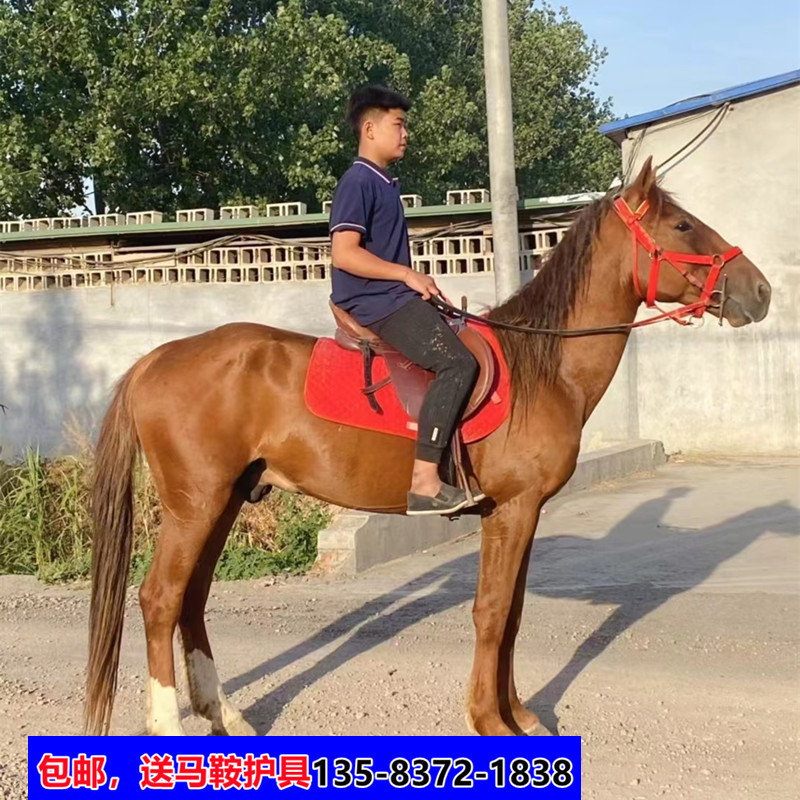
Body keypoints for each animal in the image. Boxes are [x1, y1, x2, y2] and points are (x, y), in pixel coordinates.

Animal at [83, 158, 771, 736]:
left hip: (223, 501)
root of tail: (155, 359)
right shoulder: (514, 509)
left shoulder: (516, 513)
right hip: (195, 504)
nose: (760, 290)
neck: (542, 366)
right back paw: (168, 730)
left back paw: (224, 714)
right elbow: (491, 612)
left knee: (192, 601)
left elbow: (512, 614)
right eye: (681, 224)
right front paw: (490, 723)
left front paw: (519, 713)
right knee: (159, 599)